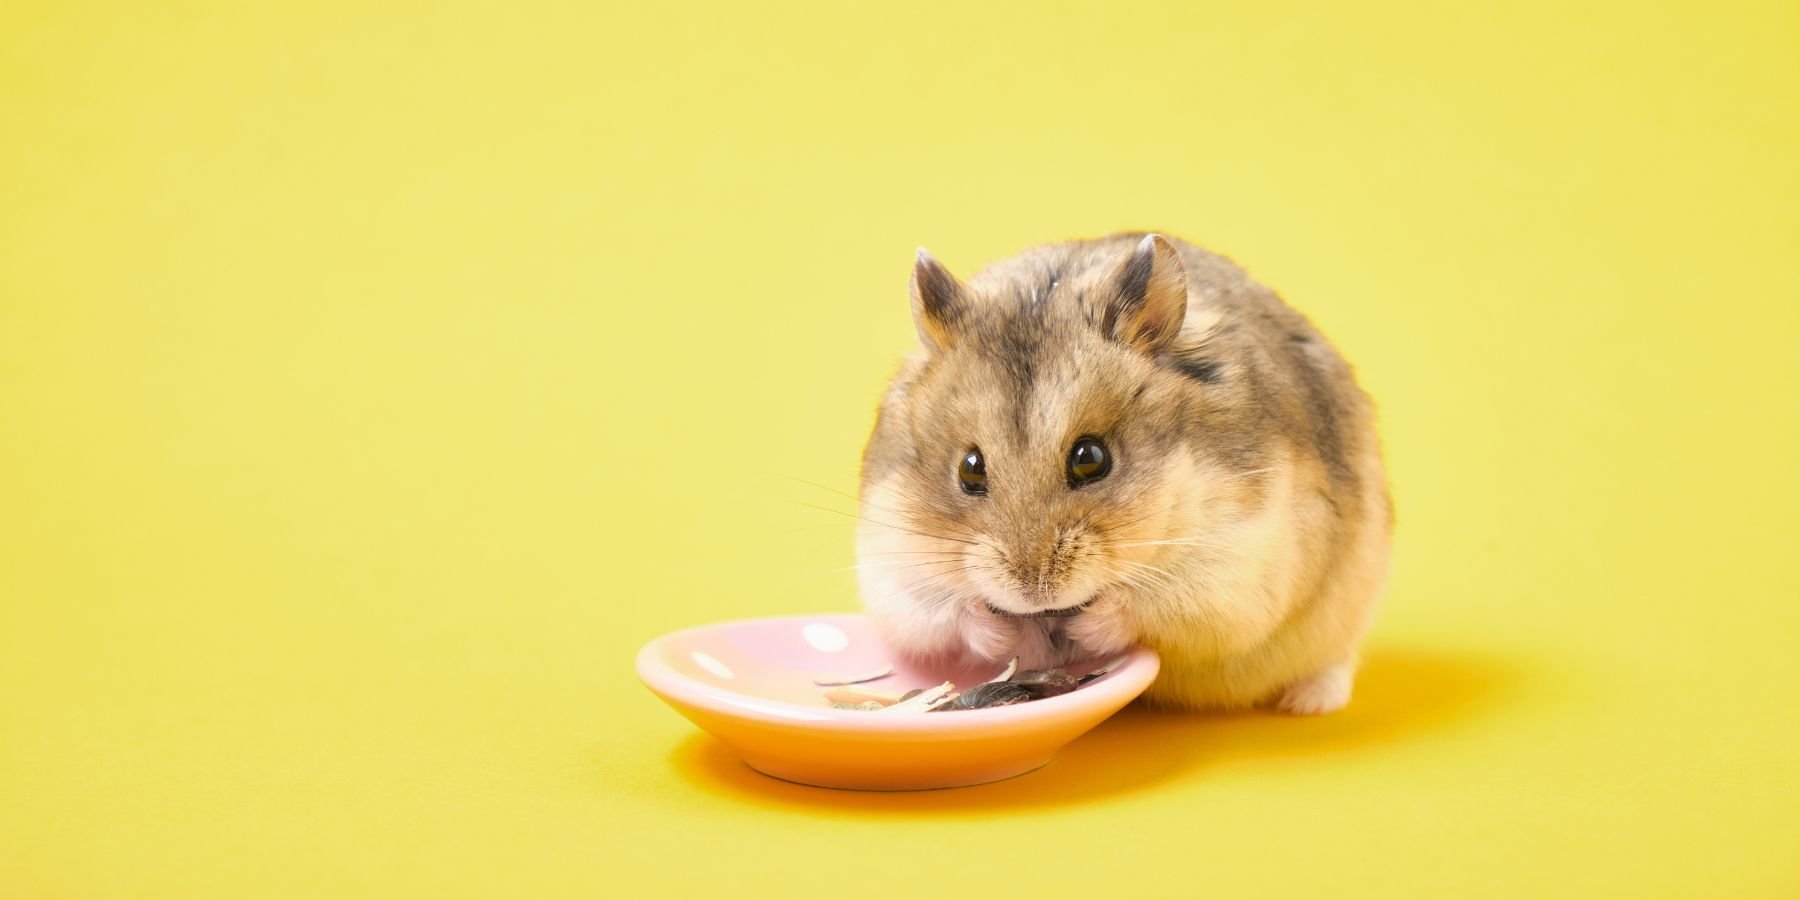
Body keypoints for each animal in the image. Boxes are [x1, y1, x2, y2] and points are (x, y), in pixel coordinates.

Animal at [855, 233, 1391, 714]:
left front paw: (1083, 627)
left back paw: (1309, 703)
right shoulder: (893, 567)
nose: (1033, 594)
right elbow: (948, 615)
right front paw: (1013, 636)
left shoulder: (1237, 565)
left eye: (1091, 457)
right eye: (969, 470)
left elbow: (1150, 605)